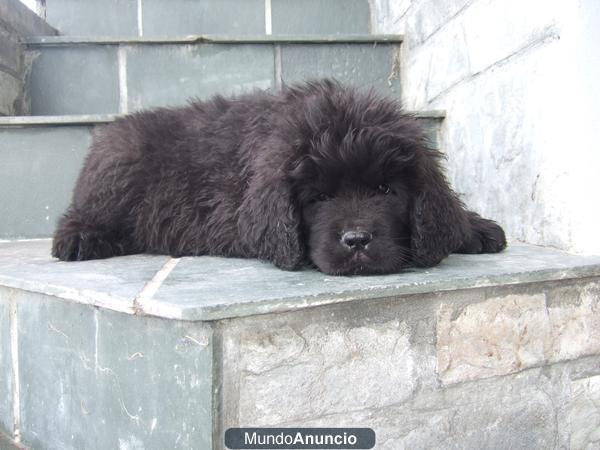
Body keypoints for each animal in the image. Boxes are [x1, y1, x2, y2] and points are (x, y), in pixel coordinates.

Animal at [51, 80, 504, 274]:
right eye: (318, 198)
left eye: (384, 189)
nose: (357, 240)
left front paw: (475, 228)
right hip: (117, 163)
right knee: (85, 210)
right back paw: (79, 239)